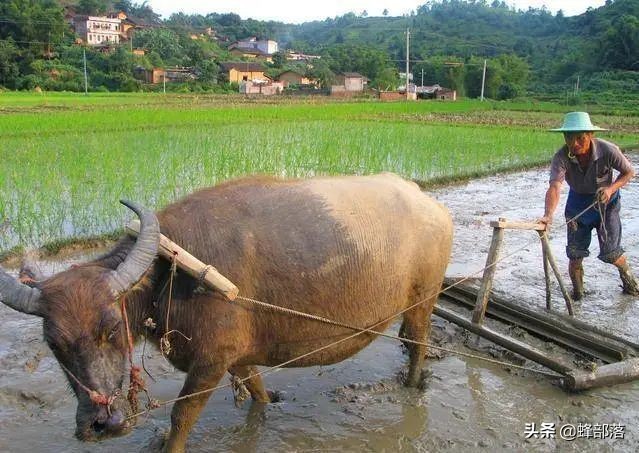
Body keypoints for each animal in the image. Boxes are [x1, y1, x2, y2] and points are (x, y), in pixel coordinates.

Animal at [0, 172, 456, 448]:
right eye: (54, 344)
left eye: (111, 329)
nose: (101, 424)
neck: (170, 271)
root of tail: (428, 203)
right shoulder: (236, 356)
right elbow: (255, 388)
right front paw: (268, 405)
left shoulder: (210, 362)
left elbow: (181, 416)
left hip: (423, 300)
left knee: (418, 343)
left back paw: (412, 384)